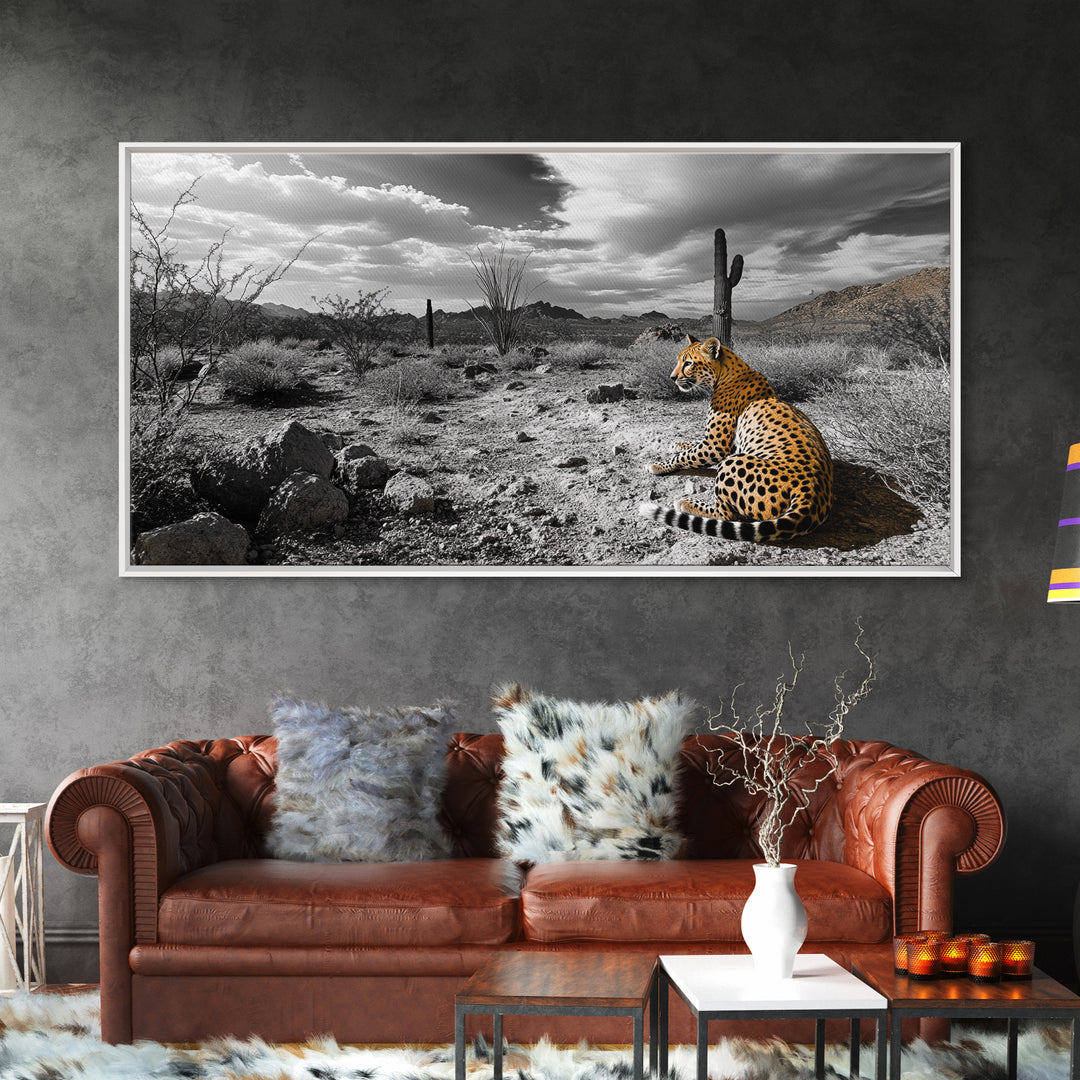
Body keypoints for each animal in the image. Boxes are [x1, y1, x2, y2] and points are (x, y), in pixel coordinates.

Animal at [638, 335, 833, 542]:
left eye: (688, 363)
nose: (672, 378)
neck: (726, 373)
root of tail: (813, 492)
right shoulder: (725, 444)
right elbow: (691, 447)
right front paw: (678, 444)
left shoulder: (716, 446)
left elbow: (686, 456)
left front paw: (658, 465)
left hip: (732, 463)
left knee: (726, 514)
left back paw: (686, 503)